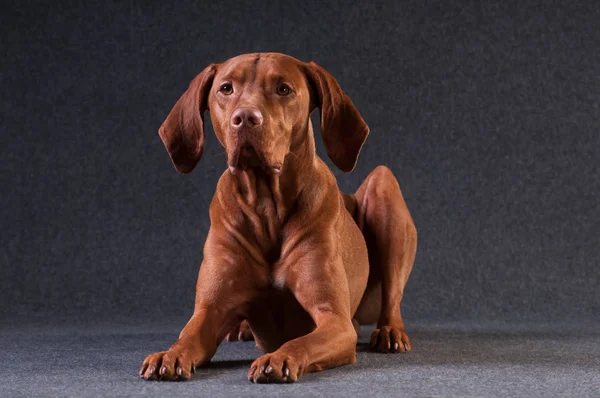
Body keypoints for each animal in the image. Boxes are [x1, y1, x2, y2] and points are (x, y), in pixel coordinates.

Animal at [142, 52, 418, 382]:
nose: (246, 118)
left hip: (383, 185)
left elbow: (302, 341)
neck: (267, 207)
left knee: (392, 295)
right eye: (226, 88)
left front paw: (280, 357)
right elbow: (187, 336)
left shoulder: (335, 321)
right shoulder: (209, 311)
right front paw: (170, 354)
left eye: (283, 89)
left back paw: (390, 332)